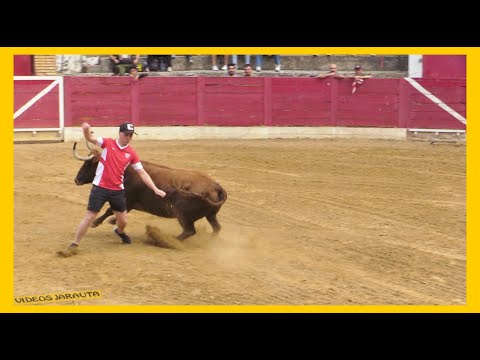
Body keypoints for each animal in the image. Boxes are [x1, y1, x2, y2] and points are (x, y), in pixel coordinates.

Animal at [72, 142, 227, 240]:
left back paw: (170, 240)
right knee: (217, 228)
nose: (76, 180)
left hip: (183, 215)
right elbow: (114, 212)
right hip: (211, 215)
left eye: (87, 164)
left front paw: (96, 222)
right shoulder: (127, 203)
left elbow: (109, 210)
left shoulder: (126, 200)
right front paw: (111, 221)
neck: (125, 172)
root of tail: (215, 186)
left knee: (189, 231)